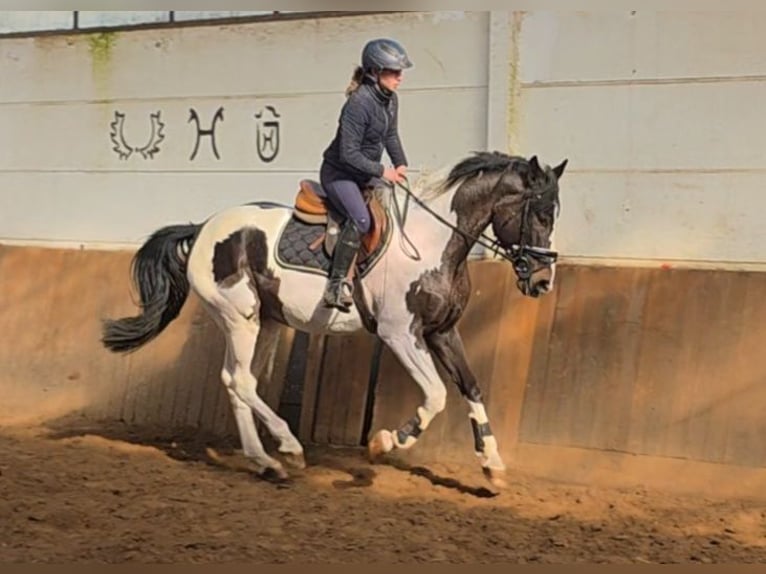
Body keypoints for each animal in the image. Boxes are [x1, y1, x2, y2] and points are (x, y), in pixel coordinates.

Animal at [101, 151, 567, 488]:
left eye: (554, 215)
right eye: (541, 214)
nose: (543, 282)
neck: (435, 243)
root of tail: (201, 227)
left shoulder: (442, 332)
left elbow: (471, 386)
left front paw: (493, 465)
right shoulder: (400, 334)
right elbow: (436, 395)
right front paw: (385, 442)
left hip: (268, 322)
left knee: (236, 381)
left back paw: (265, 462)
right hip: (240, 318)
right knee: (242, 381)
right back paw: (289, 449)